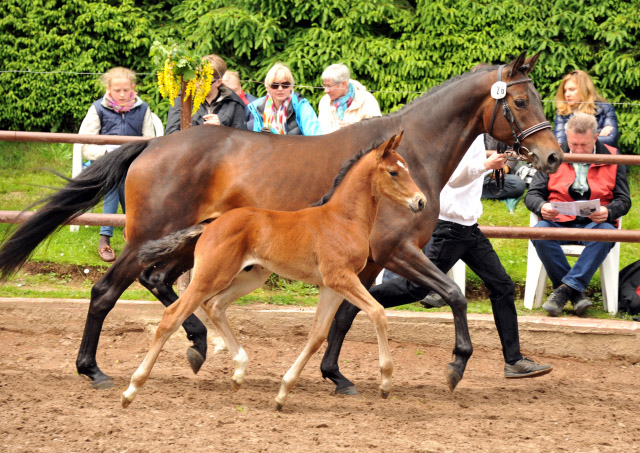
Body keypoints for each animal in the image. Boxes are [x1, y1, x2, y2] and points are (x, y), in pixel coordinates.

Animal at [122, 132, 428, 410]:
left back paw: (239, 372)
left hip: (250, 277)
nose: (421, 202)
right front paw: (385, 382)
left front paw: (283, 393)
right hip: (211, 275)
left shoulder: (330, 286)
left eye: (407, 168)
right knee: (172, 316)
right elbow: (377, 312)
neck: (343, 219)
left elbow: (317, 335)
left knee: (214, 306)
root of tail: (210, 225)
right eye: (393, 172)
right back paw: (132, 389)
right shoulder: (341, 277)